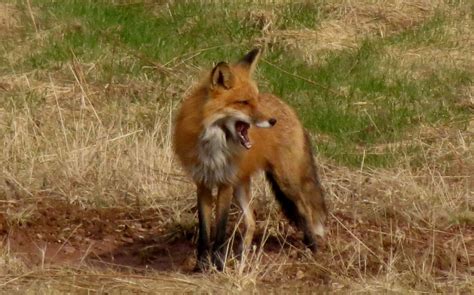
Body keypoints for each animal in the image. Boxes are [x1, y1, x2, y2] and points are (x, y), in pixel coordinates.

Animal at [173, 49, 326, 272]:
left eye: (255, 99)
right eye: (244, 102)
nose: (272, 121)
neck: (214, 146)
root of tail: (286, 106)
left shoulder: (225, 183)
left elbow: (220, 231)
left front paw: (218, 266)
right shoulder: (202, 183)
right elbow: (204, 233)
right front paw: (201, 266)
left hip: (285, 181)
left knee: (304, 209)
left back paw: (312, 247)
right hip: (242, 185)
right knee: (252, 222)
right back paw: (242, 257)